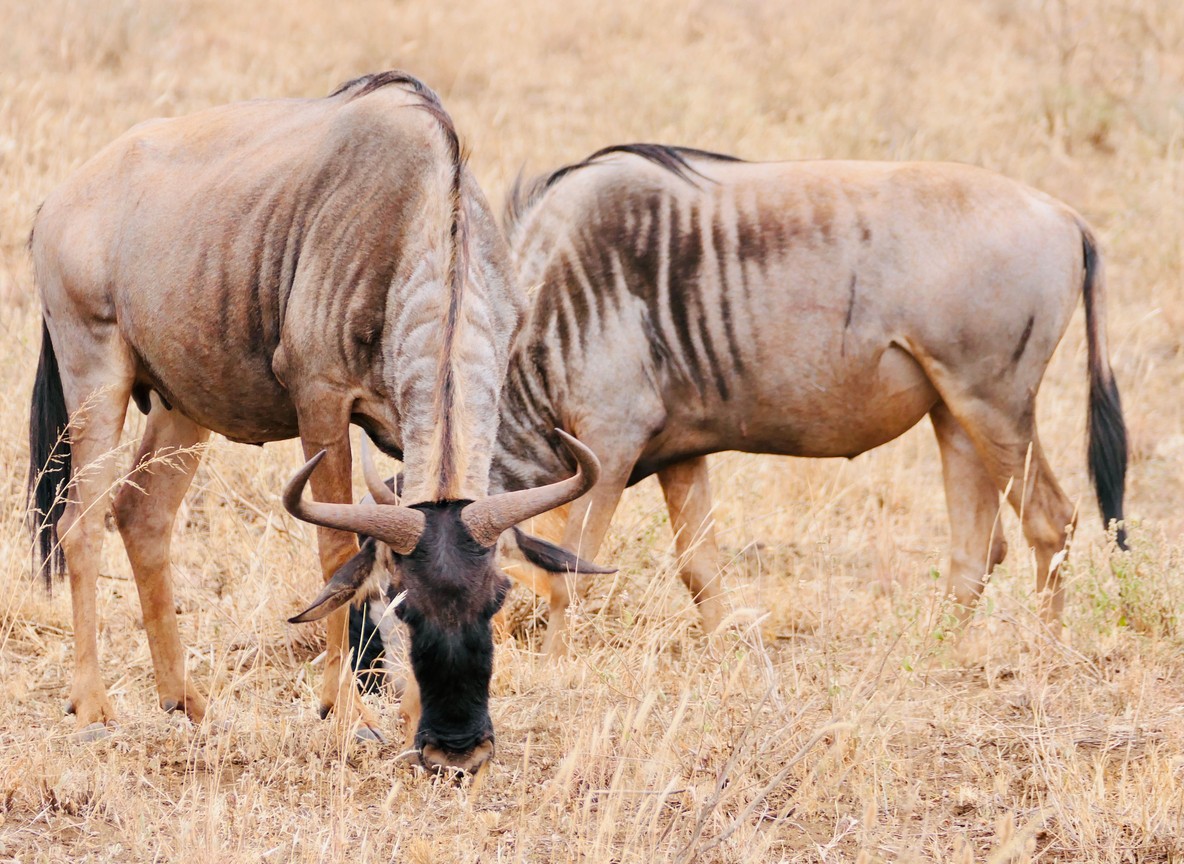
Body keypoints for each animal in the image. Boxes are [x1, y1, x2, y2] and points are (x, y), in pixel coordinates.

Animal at [26, 71, 602, 773]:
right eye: (407, 609)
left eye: (497, 600)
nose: (456, 750)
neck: (422, 214)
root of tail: (56, 204)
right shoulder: (320, 400)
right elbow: (338, 558)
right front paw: (348, 713)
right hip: (95, 376)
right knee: (79, 522)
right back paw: (94, 707)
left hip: (180, 405)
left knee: (143, 512)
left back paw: (186, 701)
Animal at [485, 144, 1128, 655]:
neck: (555, 295)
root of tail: (1064, 215)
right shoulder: (679, 454)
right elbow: (700, 569)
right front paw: (728, 660)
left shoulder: (611, 443)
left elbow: (573, 573)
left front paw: (557, 669)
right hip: (955, 413)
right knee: (978, 547)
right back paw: (934, 654)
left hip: (995, 405)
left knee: (1051, 522)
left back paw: (1042, 656)